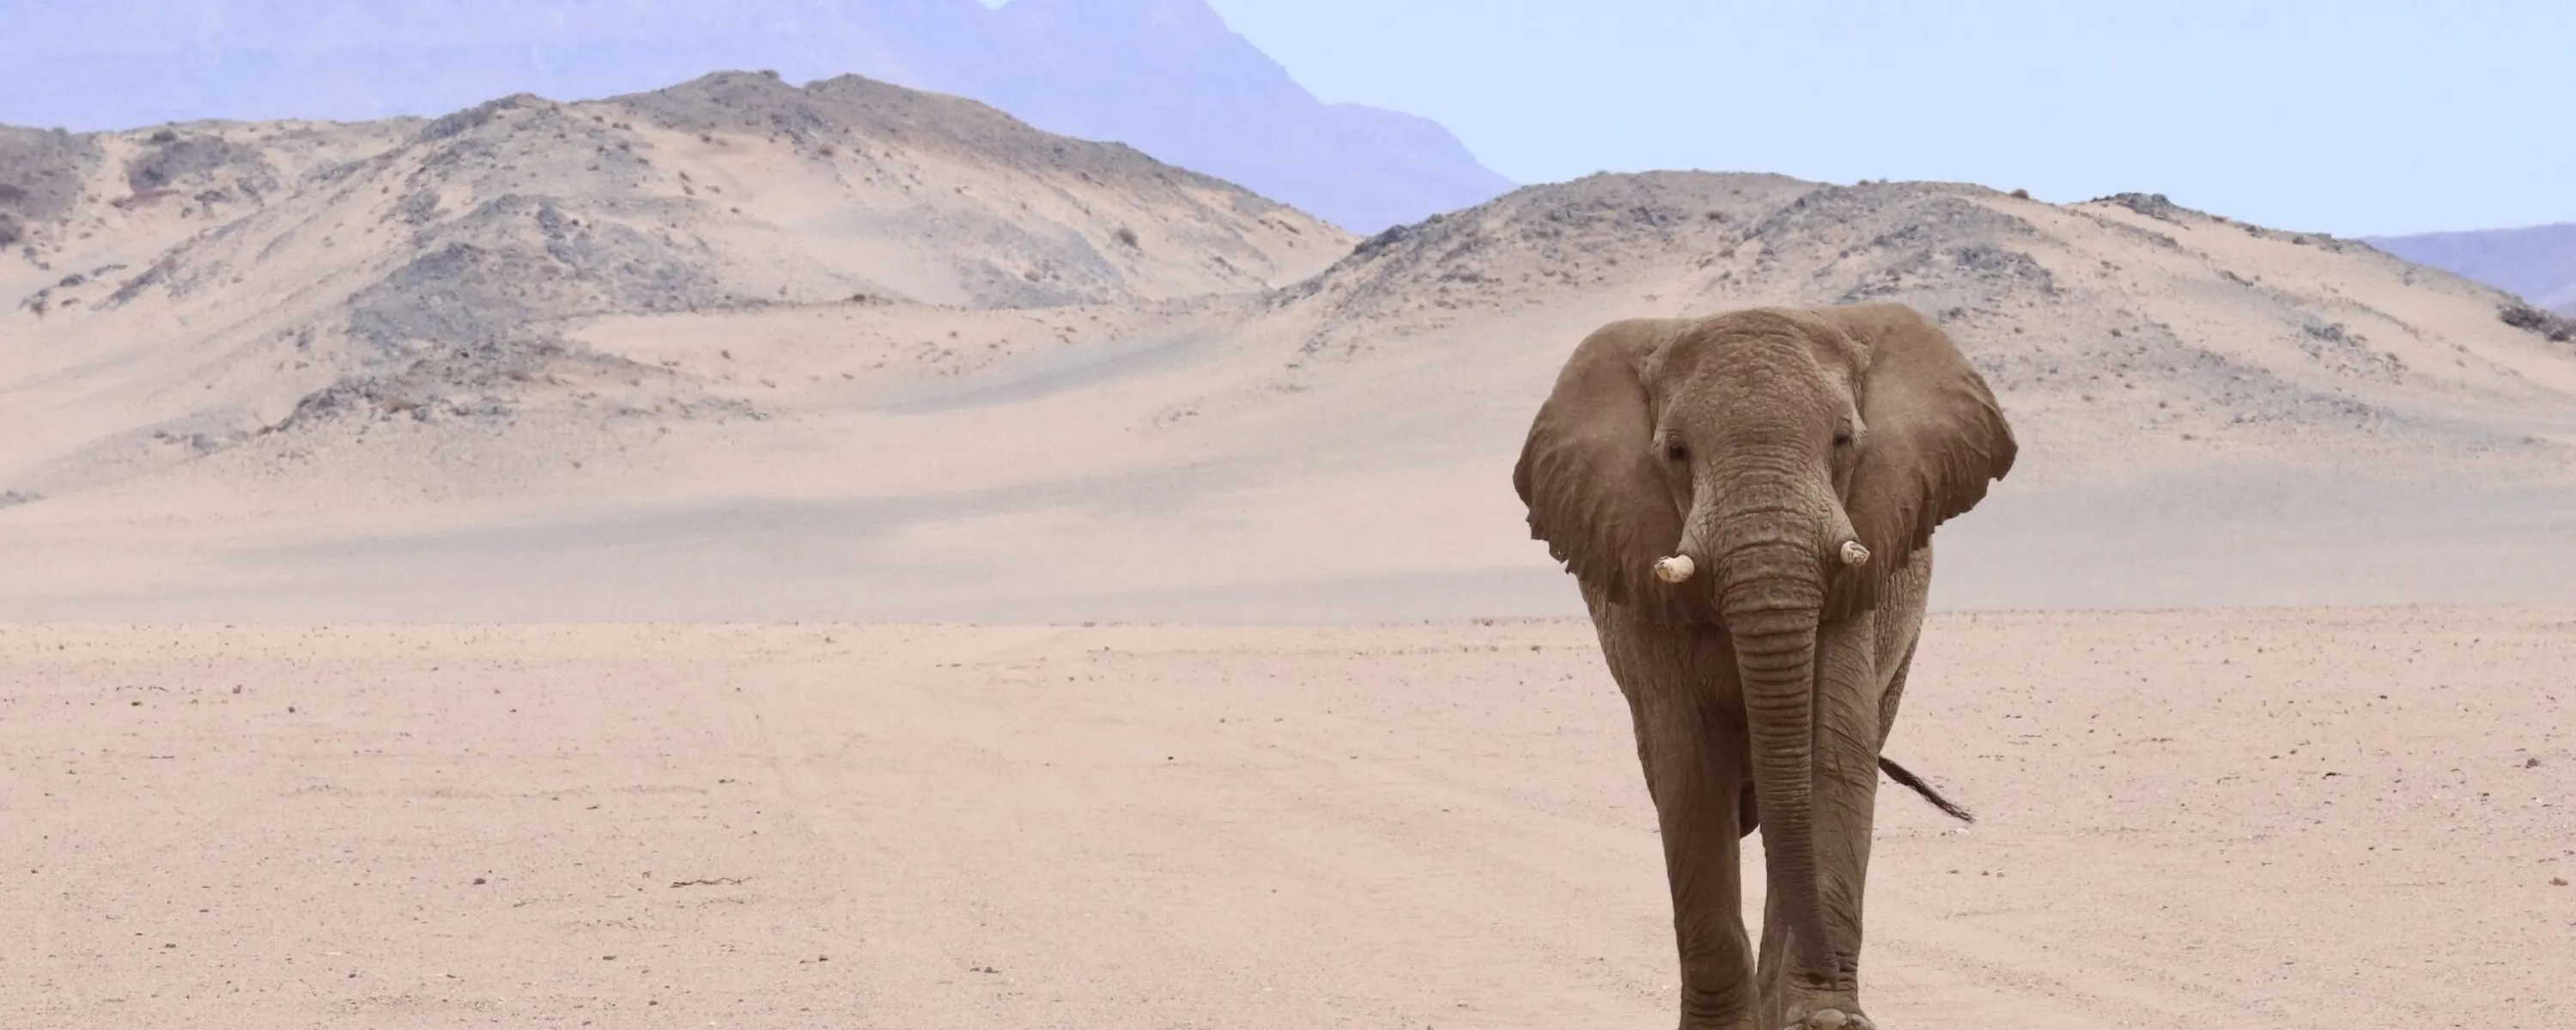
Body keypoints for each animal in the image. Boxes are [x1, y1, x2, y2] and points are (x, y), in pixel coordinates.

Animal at [1512, 302, 2016, 1029]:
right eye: (1675, 453)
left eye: (1843, 441)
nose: (1827, 972)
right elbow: (1690, 773)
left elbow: (1833, 754)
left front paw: (1827, 1022)